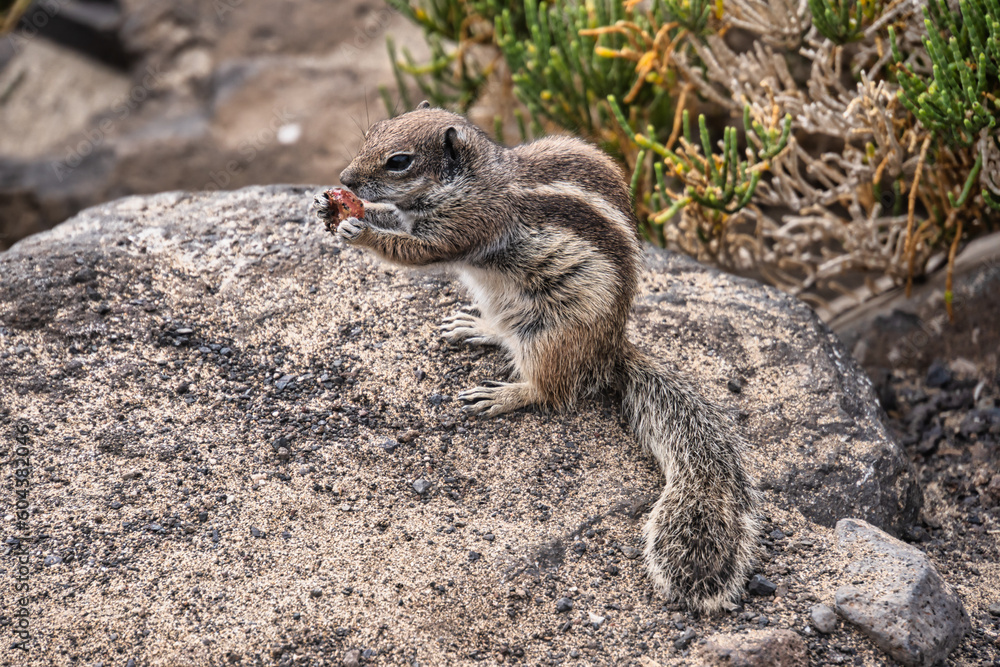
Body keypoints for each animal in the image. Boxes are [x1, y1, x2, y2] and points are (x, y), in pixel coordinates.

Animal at [315, 101, 761, 614]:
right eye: (374, 132)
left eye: (399, 161)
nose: (344, 179)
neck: (476, 180)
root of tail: (611, 349)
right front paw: (337, 207)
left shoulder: (464, 227)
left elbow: (413, 250)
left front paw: (358, 227)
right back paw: (477, 328)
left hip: (548, 338)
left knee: (551, 390)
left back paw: (503, 395)